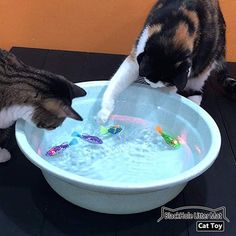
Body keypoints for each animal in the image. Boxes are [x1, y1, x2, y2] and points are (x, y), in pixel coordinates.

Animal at [97, 0, 234, 123]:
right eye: (149, 77)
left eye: (167, 82)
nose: (153, 86)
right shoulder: (138, 50)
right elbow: (119, 79)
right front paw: (104, 111)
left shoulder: (187, 66)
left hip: (206, 62)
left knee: (198, 86)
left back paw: (194, 101)